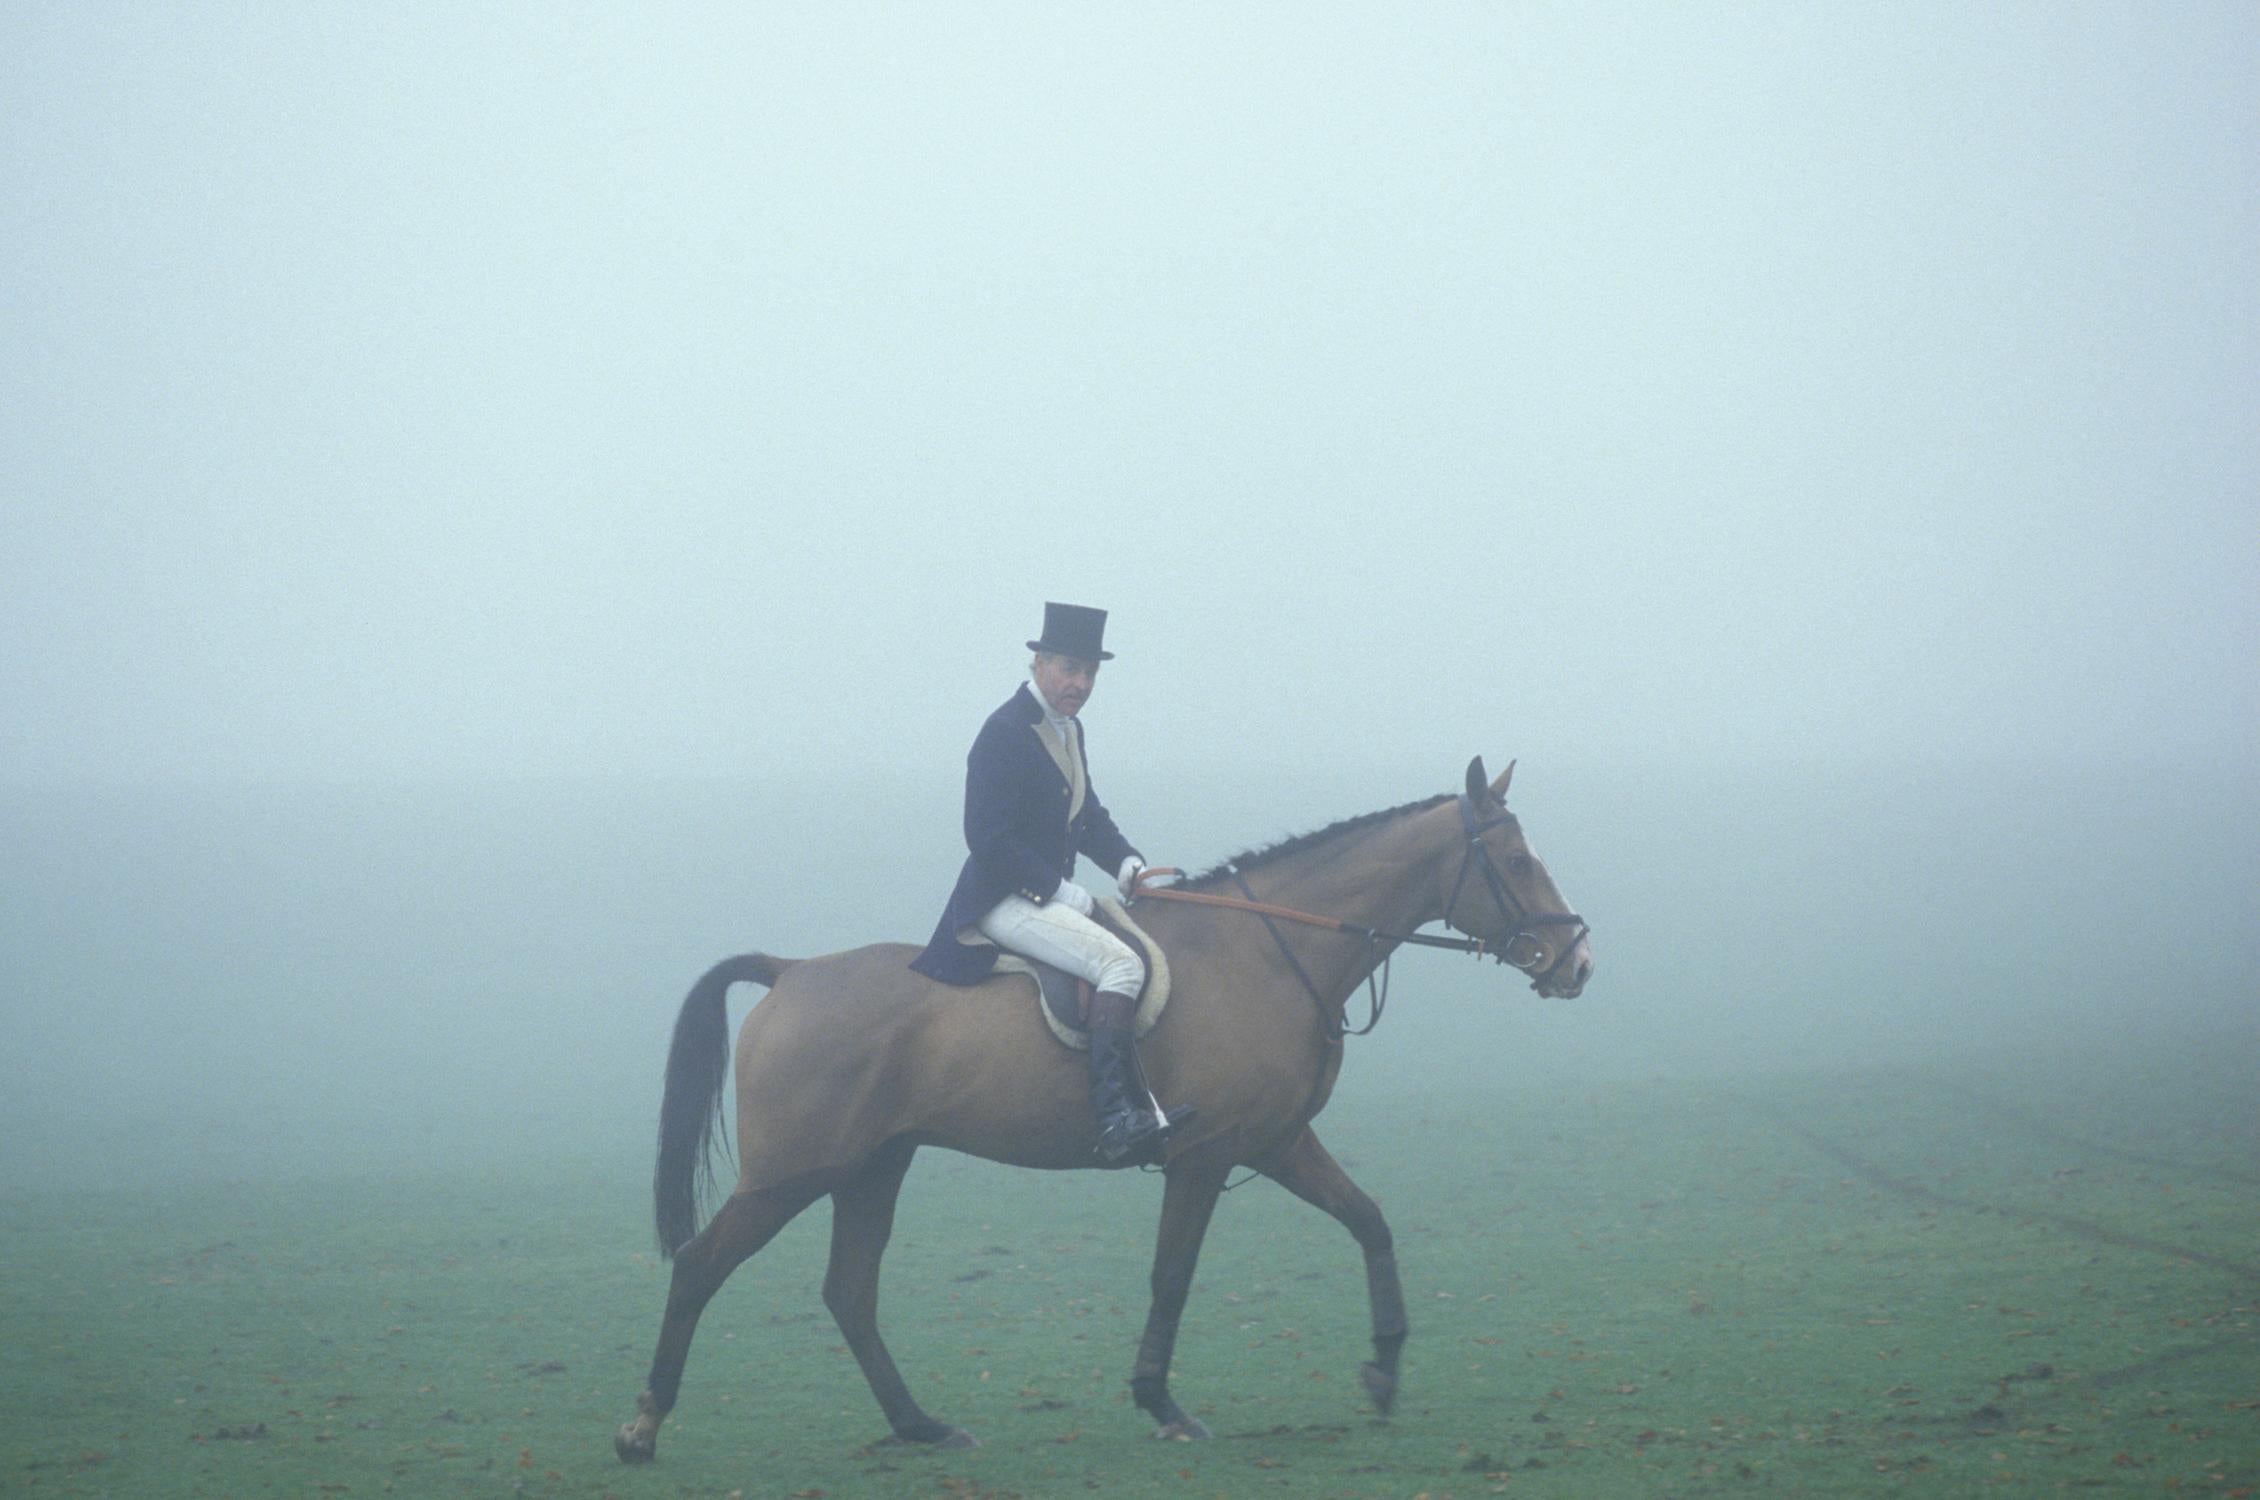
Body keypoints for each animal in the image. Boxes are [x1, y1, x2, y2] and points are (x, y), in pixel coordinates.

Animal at [619, 754, 1591, 1454]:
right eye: (1513, 859)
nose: (1577, 961)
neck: (1268, 955)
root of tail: (790, 973)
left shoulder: (1278, 1140)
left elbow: (1370, 1221)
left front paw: (1384, 1370)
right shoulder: (1207, 1155)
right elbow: (1173, 1274)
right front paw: (1162, 1404)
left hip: (872, 1166)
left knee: (850, 1292)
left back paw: (920, 1427)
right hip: (793, 1173)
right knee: (701, 1267)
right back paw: (643, 1427)